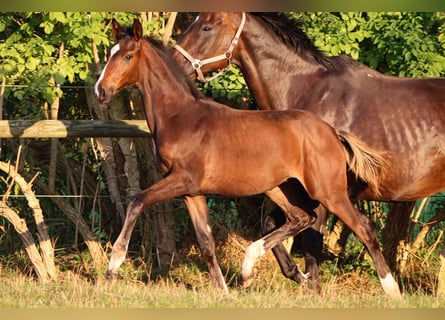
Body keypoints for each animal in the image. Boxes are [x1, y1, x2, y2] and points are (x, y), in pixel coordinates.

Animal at [93, 19, 398, 300]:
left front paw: (113, 267)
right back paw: (255, 269)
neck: (181, 117)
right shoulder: (193, 193)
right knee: (301, 218)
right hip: (280, 188)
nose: (100, 91)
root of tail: (332, 132)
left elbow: (136, 201)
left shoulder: (181, 180)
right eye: (110, 53)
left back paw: (392, 290)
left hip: (328, 191)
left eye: (127, 56)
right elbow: (206, 243)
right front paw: (223, 291)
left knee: (362, 227)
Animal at [172, 11, 444, 292]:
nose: (173, 61)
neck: (308, 92)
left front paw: (312, 286)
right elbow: (271, 226)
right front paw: (294, 276)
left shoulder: (321, 196)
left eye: (206, 27)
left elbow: (312, 241)